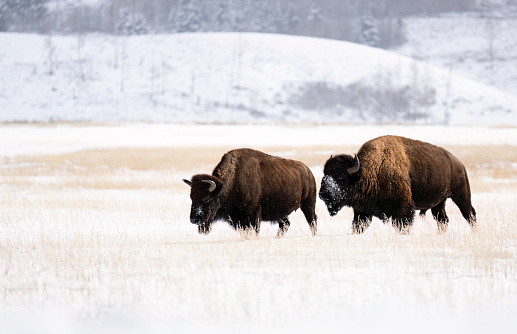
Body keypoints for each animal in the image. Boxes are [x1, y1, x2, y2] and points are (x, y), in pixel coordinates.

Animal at [181, 147, 318, 236]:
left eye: (206, 199)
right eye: (191, 197)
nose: (194, 219)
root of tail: (308, 171)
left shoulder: (253, 215)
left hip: (308, 204)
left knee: (312, 220)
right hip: (281, 212)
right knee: (285, 224)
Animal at [318, 134, 476, 234]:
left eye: (340, 177)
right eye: (324, 175)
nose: (323, 194)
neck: (367, 172)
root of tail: (459, 163)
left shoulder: (403, 209)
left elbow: (402, 225)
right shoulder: (362, 212)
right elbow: (358, 226)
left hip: (461, 195)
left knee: (469, 214)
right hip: (438, 203)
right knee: (443, 219)